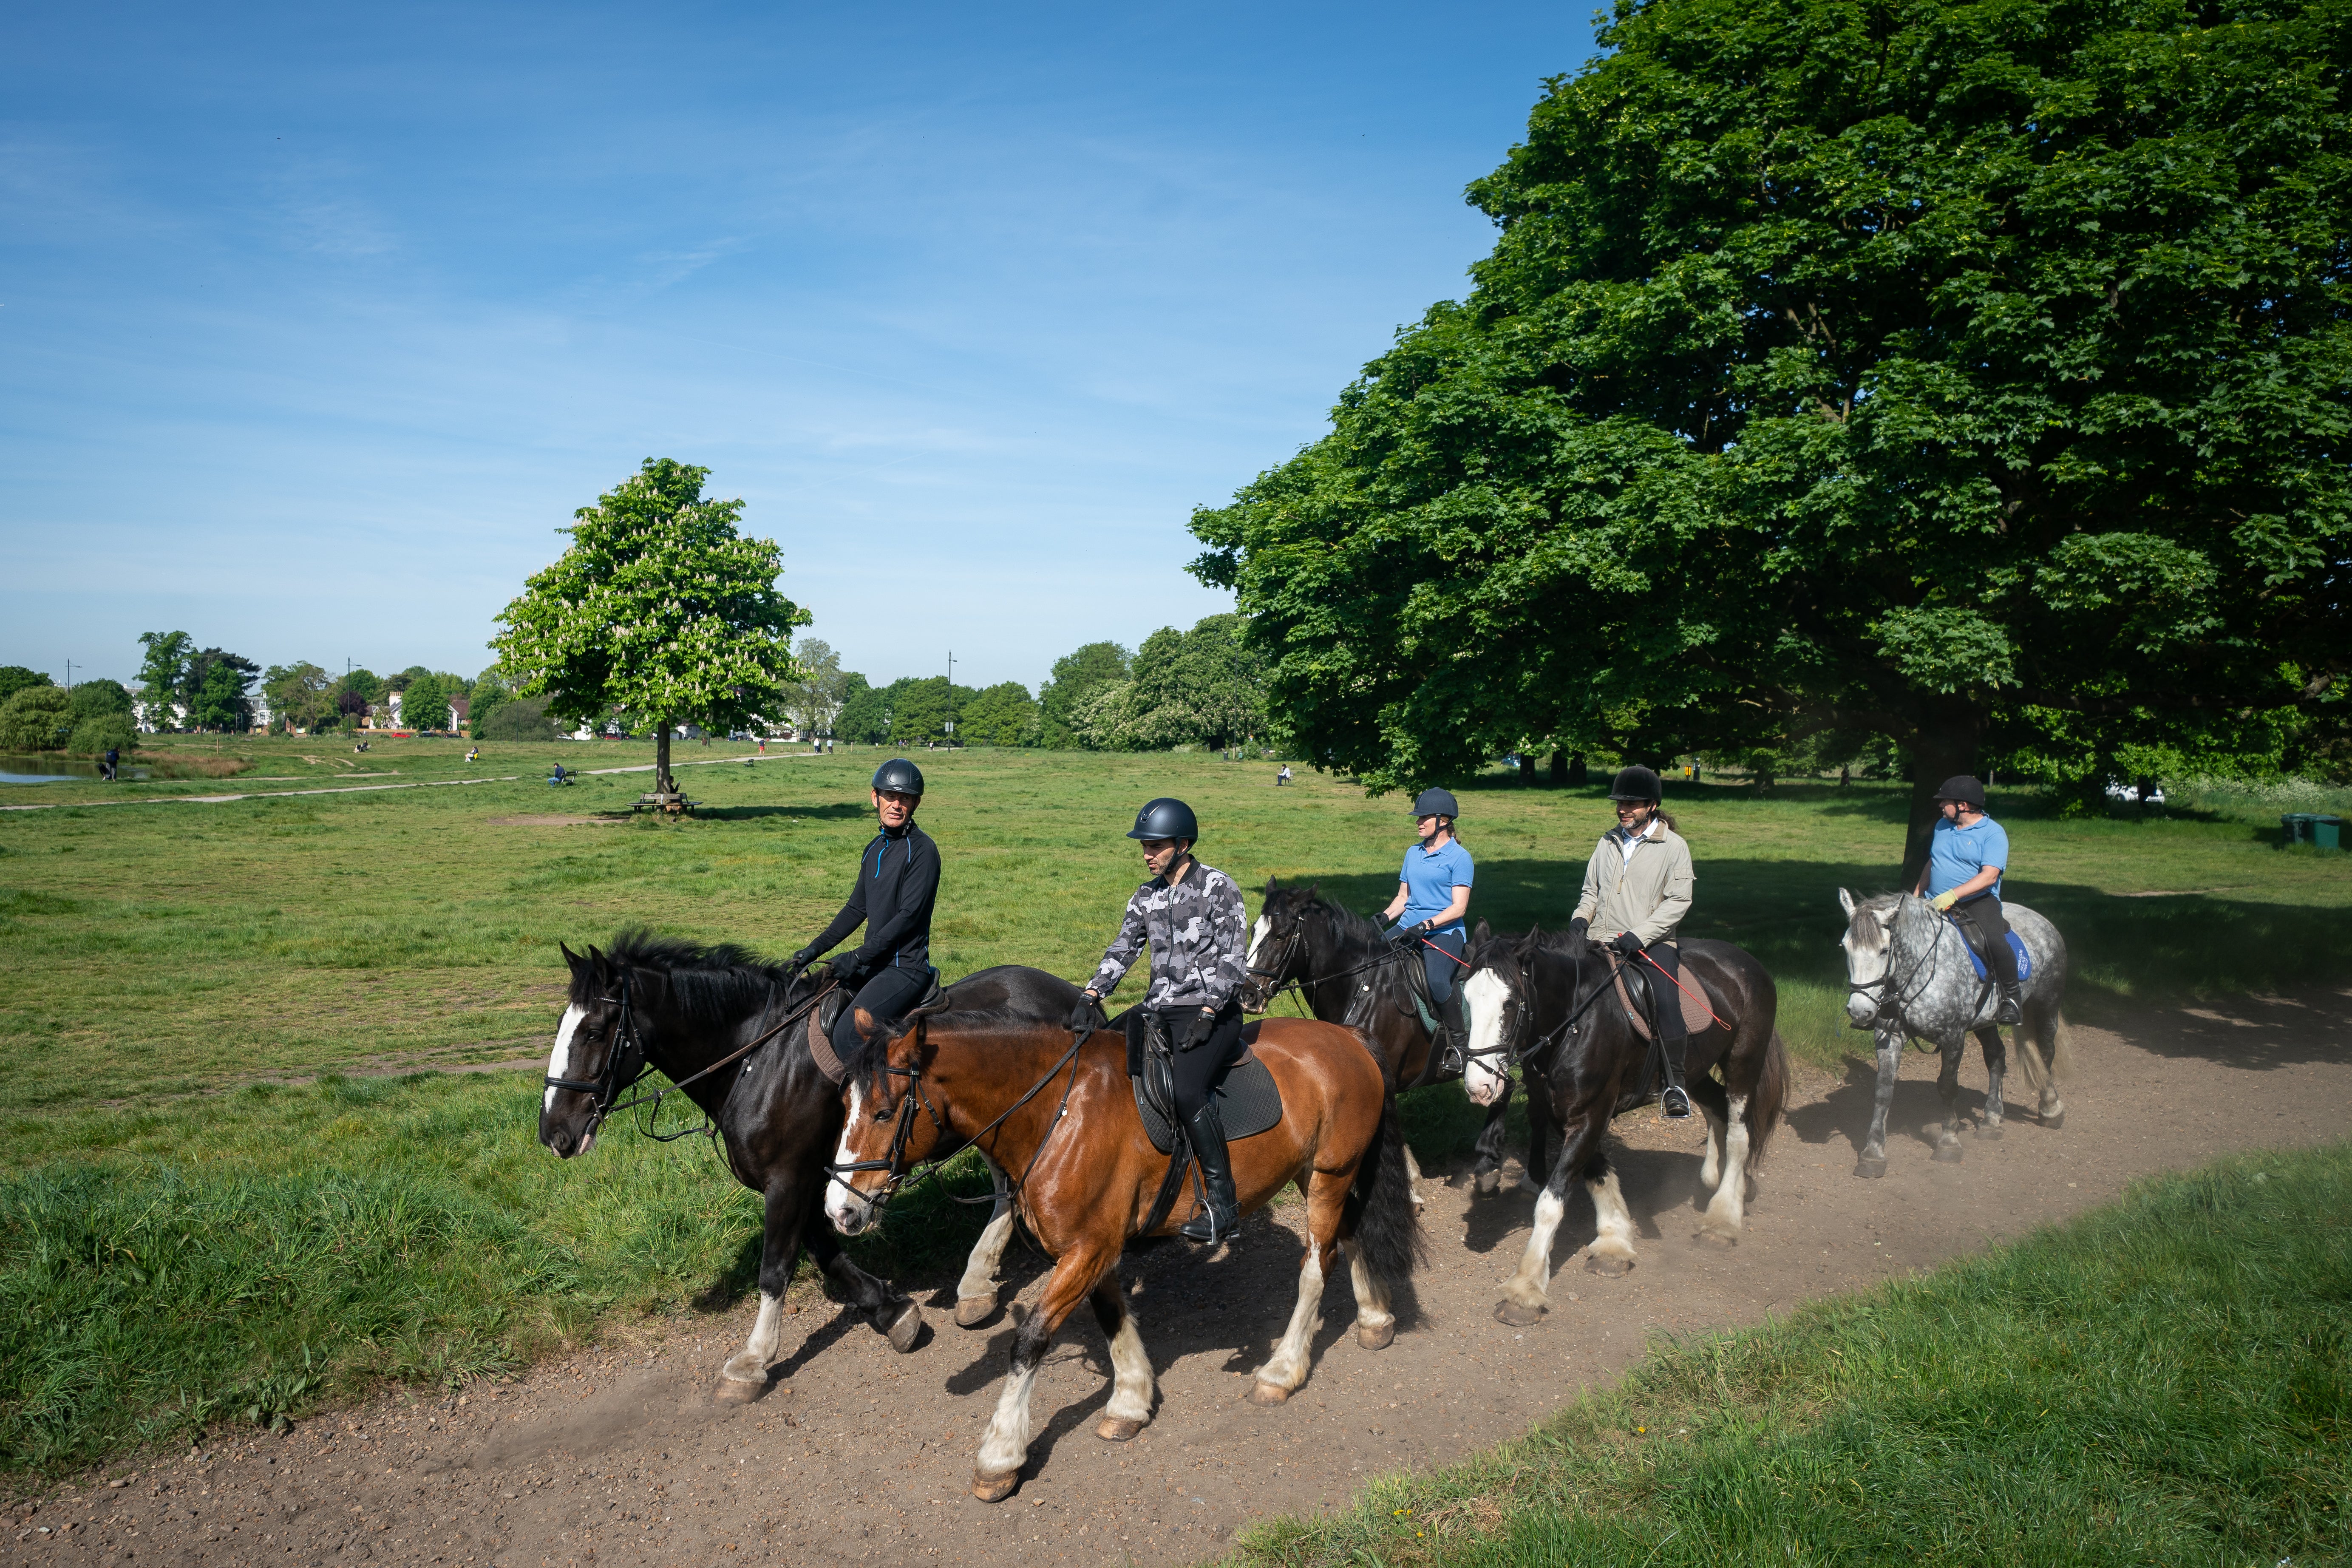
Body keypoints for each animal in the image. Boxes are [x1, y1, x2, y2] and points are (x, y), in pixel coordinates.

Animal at [541, 940, 1020, 1401]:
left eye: (594, 1032)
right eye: (562, 1025)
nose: (554, 1132)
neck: (758, 1062)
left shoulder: (789, 1180)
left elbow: (774, 1268)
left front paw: (752, 1360)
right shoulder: (805, 1182)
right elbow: (824, 1252)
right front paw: (890, 1311)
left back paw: (977, 1282)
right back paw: (978, 1282)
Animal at [827, 964, 1411, 1504]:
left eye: (883, 1111)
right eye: (843, 1107)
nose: (839, 1210)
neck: (1057, 1110)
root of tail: (1347, 1035)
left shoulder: (1087, 1247)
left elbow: (1030, 1339)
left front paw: (1000, 1454)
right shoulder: (1091, 1242)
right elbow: (1110, 1314)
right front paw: (1130, 1399)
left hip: (1331, 1172)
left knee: (1316, 1265)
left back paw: (1282, 1370)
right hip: (1316, 1172)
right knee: (1348, 1237)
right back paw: (1374, 1317)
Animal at [1458, 926, 1787, 1335]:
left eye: (1510, 1002)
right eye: (1466, 999)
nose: (1478, 1087)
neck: (1575, 1020)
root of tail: (1748, 962)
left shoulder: (1590, 1113)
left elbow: (1551, 1202)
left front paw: (1525, 1287)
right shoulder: (1568, 1113)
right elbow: (1597, 1171)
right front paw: (1614, 1240)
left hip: (1744, 1061)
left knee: (1740, 1135)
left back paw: (1723, 1218)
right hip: (1695, 1071)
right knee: (1716, 1110)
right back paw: (1723, 1181)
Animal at [1834, 893, 2079, 1175]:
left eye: (1885, 950)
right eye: (1845, 948)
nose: (1860, 1011)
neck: (1921, 971)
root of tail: (2041, 920)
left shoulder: (1953, 1037)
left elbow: (1948, 1087)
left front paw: (1949, 1141)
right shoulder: (1889, 1035)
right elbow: (1884, 1089)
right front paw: (1873, 1153)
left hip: (2046, 1005)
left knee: (2046, 1052)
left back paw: (2050, 1107)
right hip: (1986, 1022)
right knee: (1997, 1058)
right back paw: (1992, 1120)